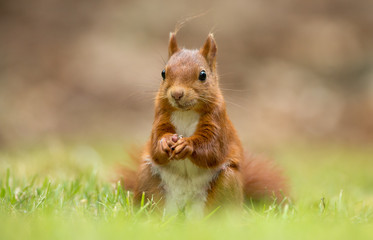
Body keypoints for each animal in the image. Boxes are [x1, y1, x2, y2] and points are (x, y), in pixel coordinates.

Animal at [122, 31, 288, 218]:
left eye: (203, 75)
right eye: (163, 73)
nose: (177, 94)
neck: (186, 113)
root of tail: (184, 208)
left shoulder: (218, 123)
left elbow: (213, 149)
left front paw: (187, 144)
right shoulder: (160, 118)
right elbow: (156, 144)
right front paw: (164, 142)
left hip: (227, 183)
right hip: (147, 179)